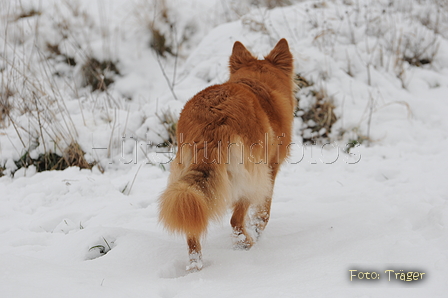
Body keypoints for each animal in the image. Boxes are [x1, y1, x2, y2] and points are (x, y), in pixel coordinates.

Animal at [159, 38, 296, 272]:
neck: (258, 82)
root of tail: (213, 120)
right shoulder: (271, 168)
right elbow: (263, 211)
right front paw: (257, 228)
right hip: (250, 176)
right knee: (235, 220)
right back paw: (245, 244)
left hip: (183, 179)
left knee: (192, 225)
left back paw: (195, 264)